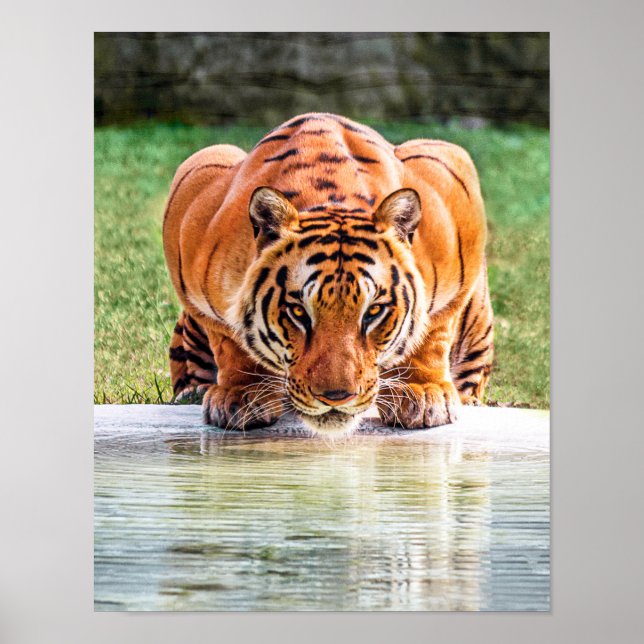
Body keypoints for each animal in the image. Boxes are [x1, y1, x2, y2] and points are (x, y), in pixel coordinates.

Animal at [162, 112, 493, 435]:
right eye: (298, 311)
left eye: (374, 312)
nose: (337, 398)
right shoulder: (192, 205)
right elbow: (228, 340)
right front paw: (241, 395)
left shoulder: (452, 181)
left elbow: (433, 331)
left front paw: (422, 393)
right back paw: (194, 392)